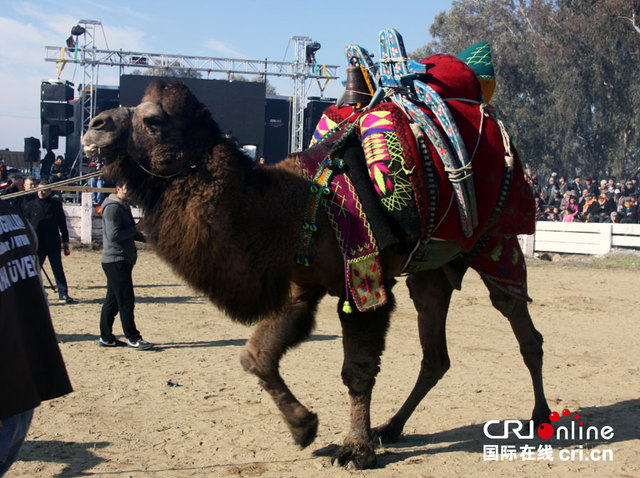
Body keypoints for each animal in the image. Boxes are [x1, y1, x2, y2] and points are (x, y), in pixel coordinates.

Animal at [82, 78, 552, 470]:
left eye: (153, 120)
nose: (93, 125)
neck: (288, 208)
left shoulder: (364, 283)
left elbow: (356, 370)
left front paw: (354, 449)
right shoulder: (300, 286)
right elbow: (257, 356)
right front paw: (304, 427)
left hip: (496, 243)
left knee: (522, 325)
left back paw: (541, 418)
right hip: (432, 271)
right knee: (435, 351)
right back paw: (392, 427)